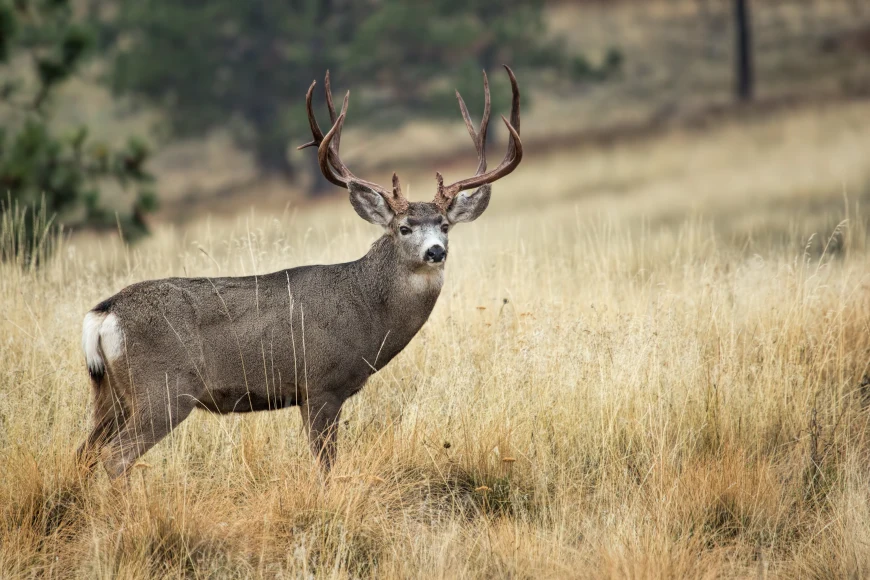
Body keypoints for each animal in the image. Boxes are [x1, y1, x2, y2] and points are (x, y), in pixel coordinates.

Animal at [76, 65, 524, 478]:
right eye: (404, 227)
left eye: (445, 225)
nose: (435, 251)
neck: (366, 311)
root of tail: (105, 313)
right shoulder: (321, 384)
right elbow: (325, 464)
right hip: (163, 390)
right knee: (114, 458)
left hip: (111, 394)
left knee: (83, 453)